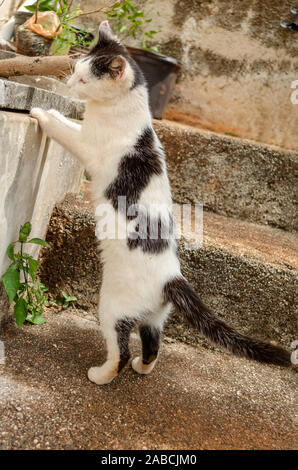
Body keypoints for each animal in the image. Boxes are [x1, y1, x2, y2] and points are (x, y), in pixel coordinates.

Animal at [30, 20, 292, 384]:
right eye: (76, 71)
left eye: (83, 79)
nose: (68, 83)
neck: (123, 112)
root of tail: (173, 277)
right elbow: (70, 122)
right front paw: (53, 110)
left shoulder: (89, 147)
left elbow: (65, 130)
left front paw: (42, 113)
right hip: (154, 315)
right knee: (154, 342)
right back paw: (143, 367)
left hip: (112, 306)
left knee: (121, 349)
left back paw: (102, 375)